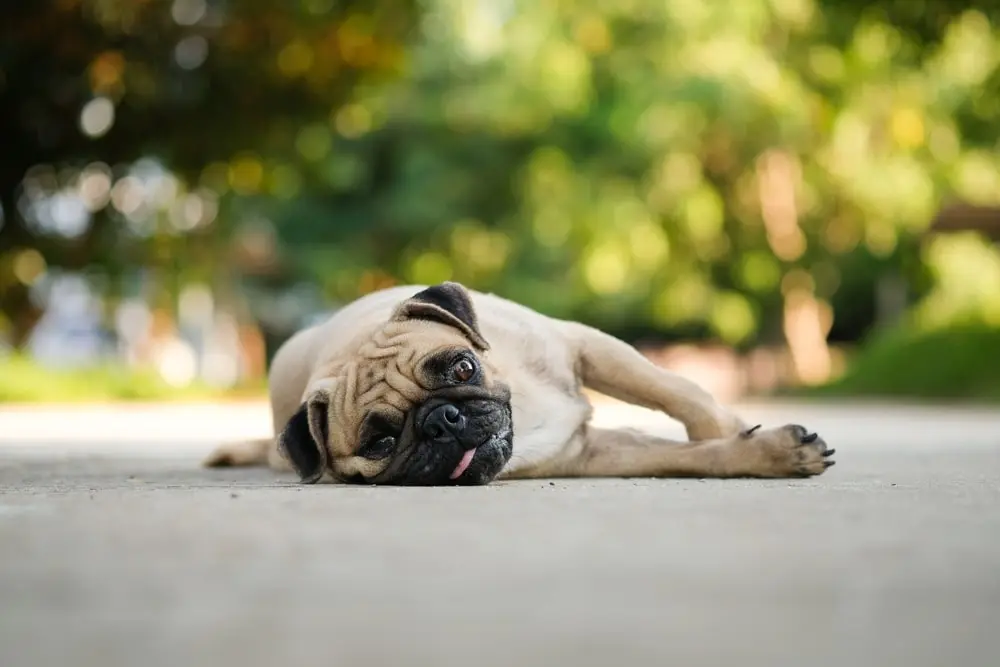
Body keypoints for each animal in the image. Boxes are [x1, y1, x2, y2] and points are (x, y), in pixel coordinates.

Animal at [199, 282, 832, 486]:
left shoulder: (585, 345)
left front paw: (733, 431)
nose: (443, 419)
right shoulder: (591, 456)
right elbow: (687, 457)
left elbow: (678, 392)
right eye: (380, 443)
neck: (524, 408)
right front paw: (764, 452)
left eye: (462, 368)